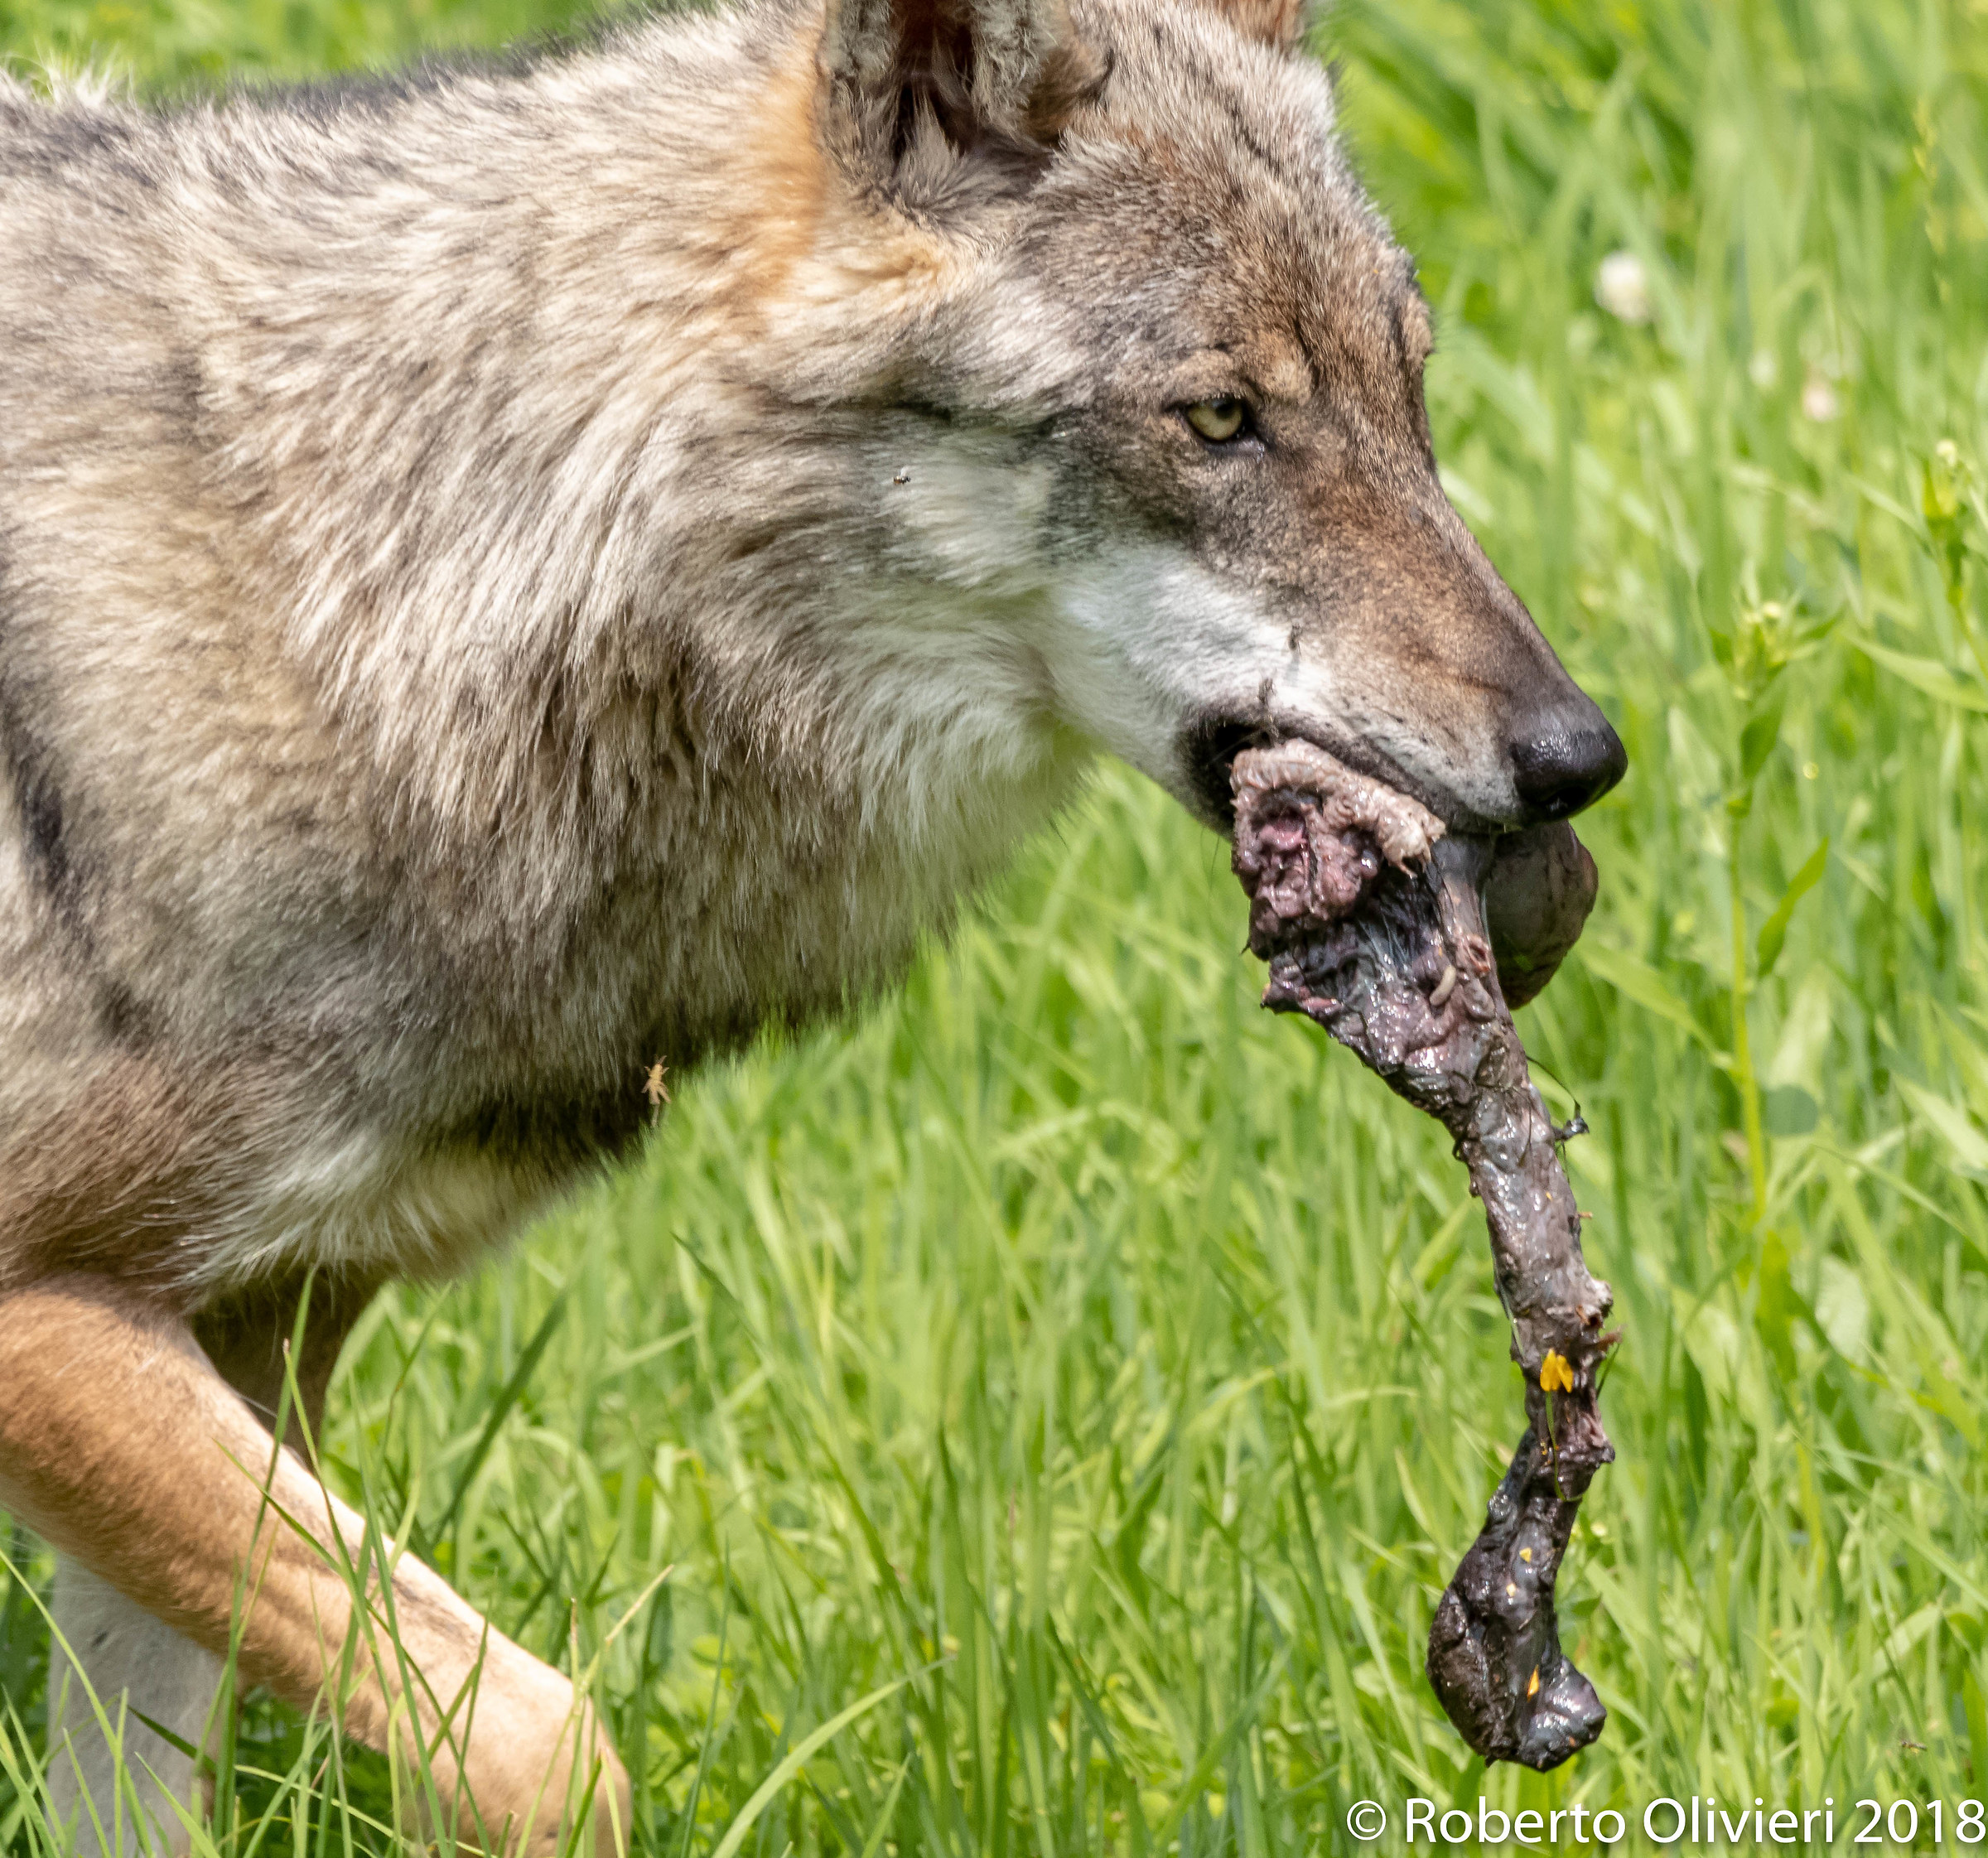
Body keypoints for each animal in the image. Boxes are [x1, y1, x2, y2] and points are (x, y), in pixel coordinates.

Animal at [0, 0, 1624, 1841]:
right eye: (1220, 417)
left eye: (1406, 390)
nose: (1581, 756)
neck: (354, 598)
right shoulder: (63, 1315)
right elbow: (549, 1743)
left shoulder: (250, 1317)